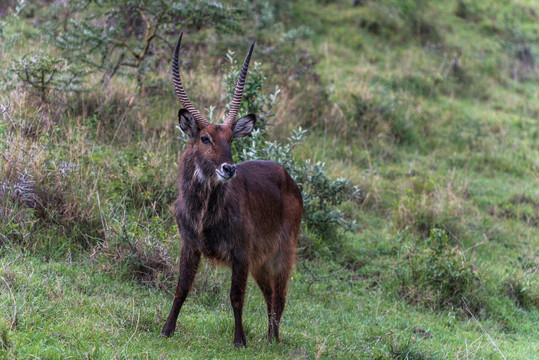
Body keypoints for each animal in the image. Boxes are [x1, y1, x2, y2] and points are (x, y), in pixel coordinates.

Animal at [160, 34, 304, 348]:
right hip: (261, 262)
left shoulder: (241, 252)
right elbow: (181, 288)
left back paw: (274, 340)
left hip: (282, 253)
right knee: (269, 295)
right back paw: (269, 336)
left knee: (281, 296)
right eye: (205, 138)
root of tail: (288, 177)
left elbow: (236, 297)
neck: (204, 215)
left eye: (231, 140)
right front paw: (166, 329)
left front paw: (239, 340)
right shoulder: (190, 245)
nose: (229, 168)